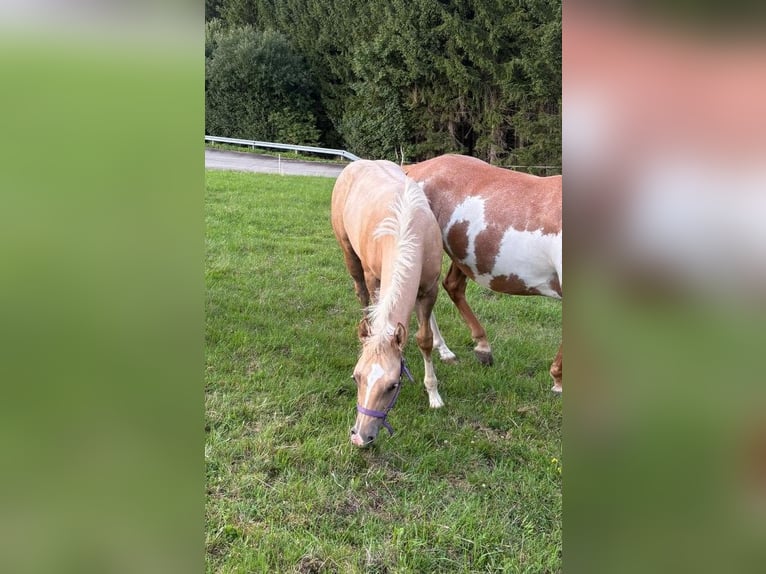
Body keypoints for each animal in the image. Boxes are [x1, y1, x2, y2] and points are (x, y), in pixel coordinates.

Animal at [331, 159, 453, 446]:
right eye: (356, 377)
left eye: (392, 385)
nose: (360, 437)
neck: (406, 227)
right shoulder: (373, 277)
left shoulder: (429, 287)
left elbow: (424, 338)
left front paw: (434, 394)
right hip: (350, 256)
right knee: (361, 295)